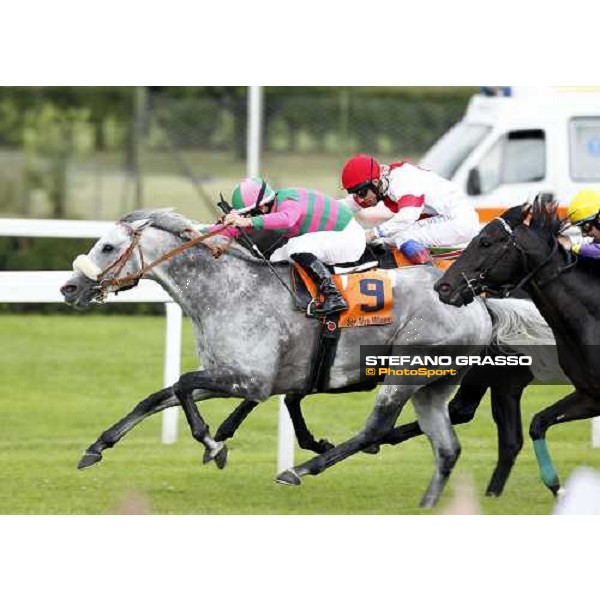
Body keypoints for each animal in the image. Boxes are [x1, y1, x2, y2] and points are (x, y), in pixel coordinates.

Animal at [58, 210, 552, 506]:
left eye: (107, 247)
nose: (69, 287)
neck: (227, 290)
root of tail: (479, 302)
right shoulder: (230, 373)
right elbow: (158, 396)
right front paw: (96, 446)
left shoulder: (249, 379)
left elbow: (181, 385)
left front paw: (213, 444)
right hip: (434, 381)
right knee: (446, 442)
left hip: (406, 372)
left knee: (378, 428)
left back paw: (300, 469)